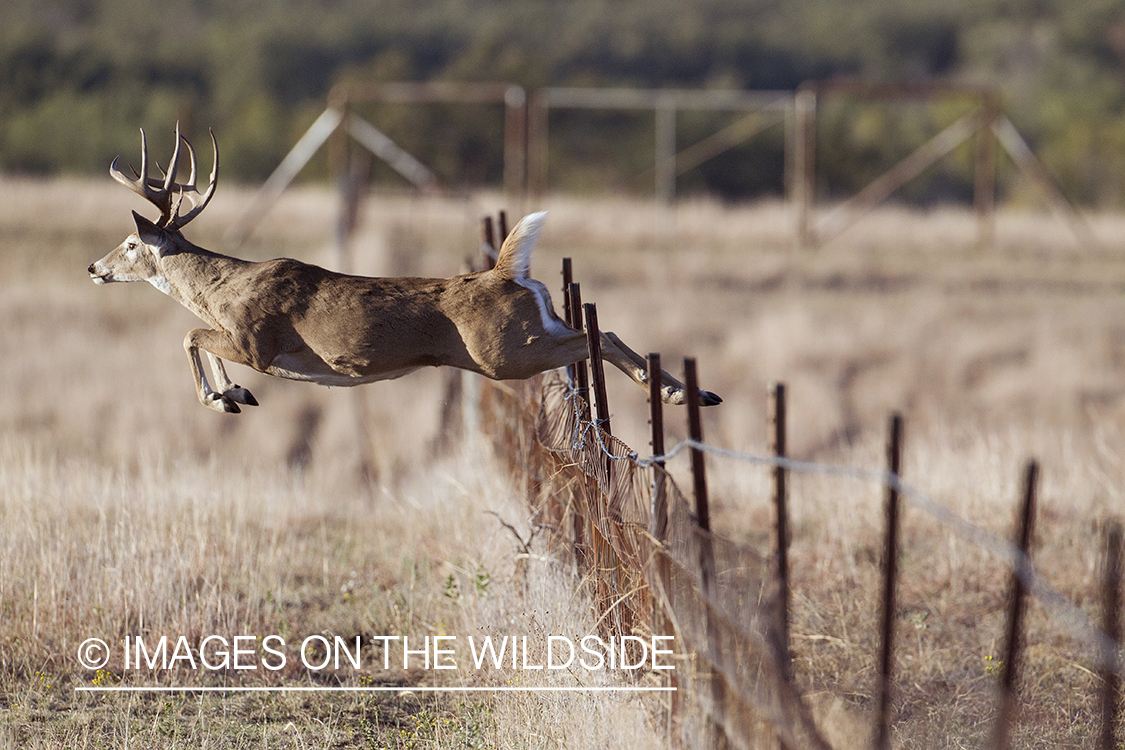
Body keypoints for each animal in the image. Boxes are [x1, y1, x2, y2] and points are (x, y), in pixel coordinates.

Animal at [85, 125, 720, 413]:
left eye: (129, 242)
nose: (93, 267)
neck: (224, 288)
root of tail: (504, 271)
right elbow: (200, 340)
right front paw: (234, 393)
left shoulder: (257, 339)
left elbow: (190, 334)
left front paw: (221, 397)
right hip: (534, 325)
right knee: (598, 328)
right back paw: (691, 392)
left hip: (500, 352)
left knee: (597, 336)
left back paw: (677, 394)